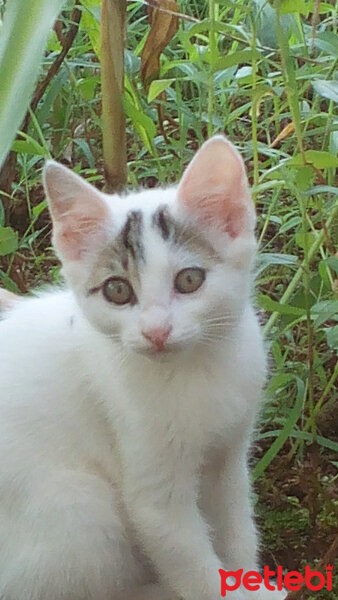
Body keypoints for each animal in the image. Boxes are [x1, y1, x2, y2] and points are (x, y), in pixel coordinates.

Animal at [0, 137, 286, 600]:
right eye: (117, 291)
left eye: (189, 280)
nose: (156, 332)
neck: (195, 371)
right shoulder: (153, 494)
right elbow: (193, 565)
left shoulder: (229, 455)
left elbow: (236, 525)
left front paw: (247, 576)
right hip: (79, 507)